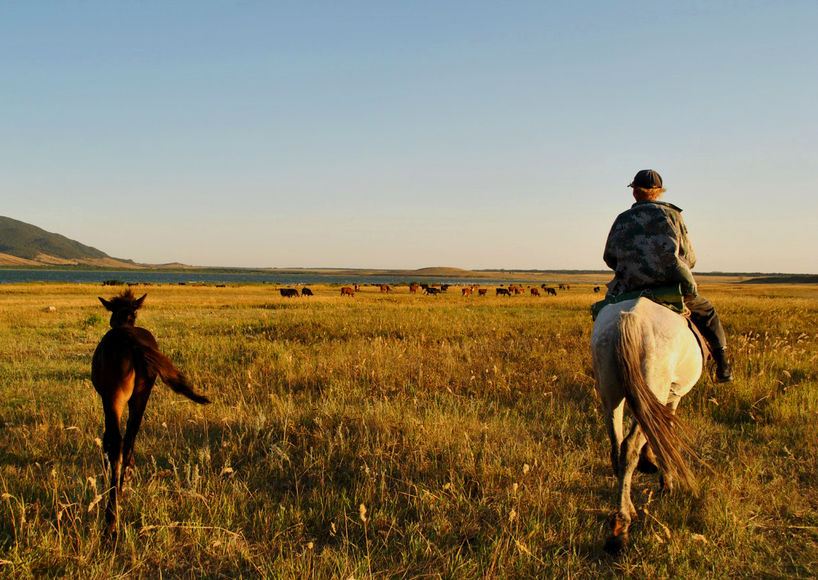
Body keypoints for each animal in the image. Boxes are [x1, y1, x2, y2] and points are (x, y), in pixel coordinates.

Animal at [588, 300, 700, 552]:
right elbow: (663, 434)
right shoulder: (671, 397)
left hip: (611, 393)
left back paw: (627, 509)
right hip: (653, 386)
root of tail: (631, 318)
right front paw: (666, 481)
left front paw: (649, 461)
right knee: (629, 446)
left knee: (617, 447)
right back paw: (621, 529)